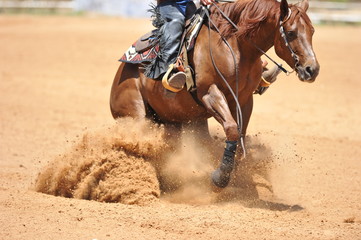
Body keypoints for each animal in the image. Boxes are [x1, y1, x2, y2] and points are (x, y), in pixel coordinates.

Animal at [109, 0, 318, 189]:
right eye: (290, 32)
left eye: (312, 31)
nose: (312, 69)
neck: (234, 46)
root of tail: (120, 72)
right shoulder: (211, 94)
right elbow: (232, 129)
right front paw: (221, 177)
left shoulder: (244, 100)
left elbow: (240, 134)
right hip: (134, 117)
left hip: (176, 122)